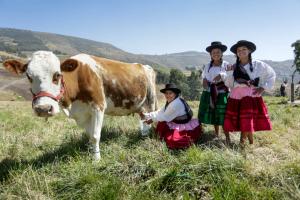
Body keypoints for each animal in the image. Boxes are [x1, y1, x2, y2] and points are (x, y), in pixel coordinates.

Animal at [3, 50, 158, 160]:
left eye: (57, 75)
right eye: (29, 76)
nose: (43, 109)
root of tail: (142, 65)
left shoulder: (98, 106)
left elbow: (95, 135)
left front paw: (96, 159)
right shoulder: (81, 114)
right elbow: (89, 135)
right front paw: (91, 152)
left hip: (151, 100)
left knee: (151, 118)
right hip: (140, 105)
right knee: (144, 118)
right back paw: (143, 135)